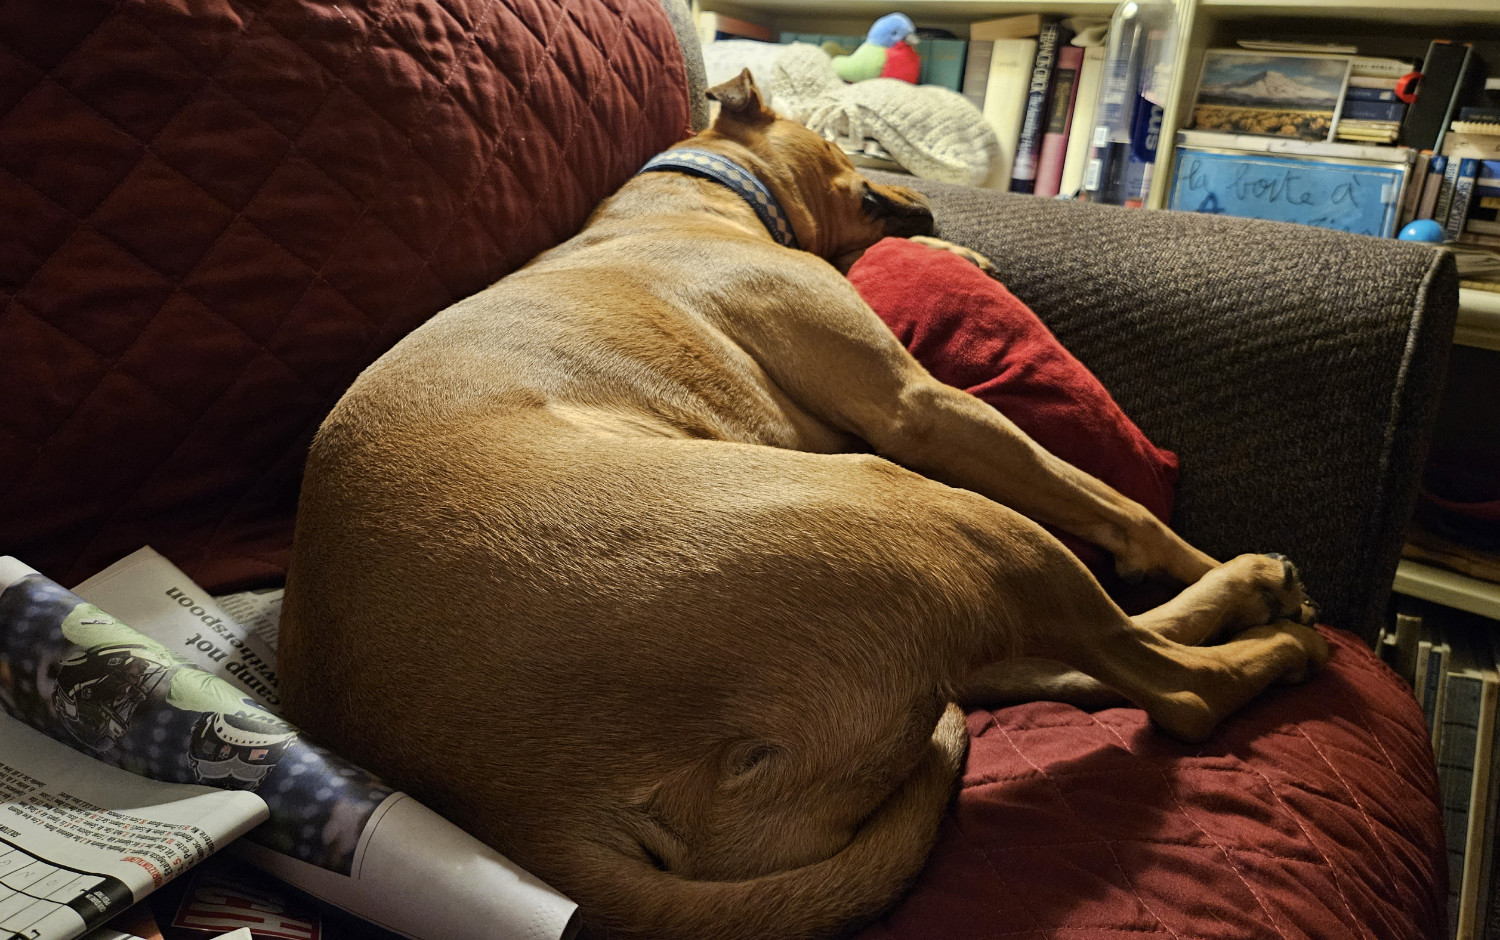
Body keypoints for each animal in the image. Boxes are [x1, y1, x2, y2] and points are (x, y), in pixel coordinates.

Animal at [279, 73, 1326, 940]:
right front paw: (1201, 558)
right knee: (1170, 687)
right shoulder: (919, 407)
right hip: (917, 507)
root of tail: (523, 816)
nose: (928, 198)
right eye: (843, 141)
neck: (693, 194)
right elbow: (1114, 503)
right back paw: (1272, 616)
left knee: (1084, 661)